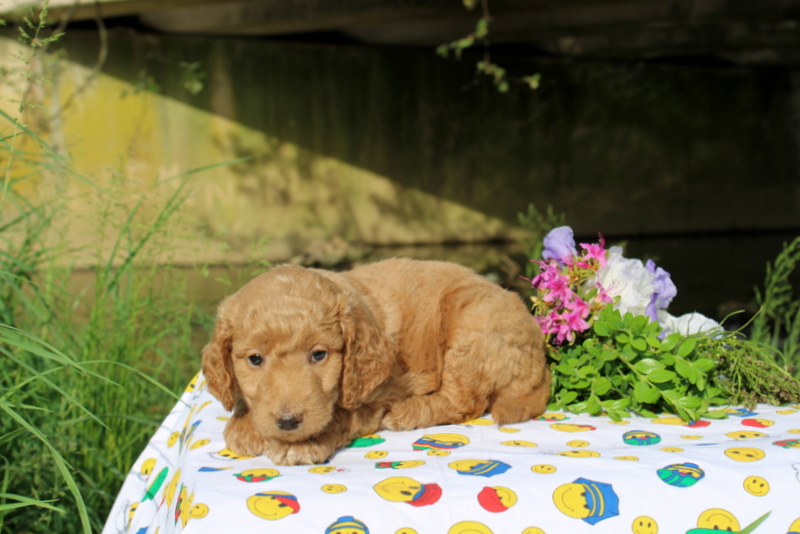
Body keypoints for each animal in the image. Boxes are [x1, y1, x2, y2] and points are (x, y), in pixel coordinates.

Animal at [200, 258, 552, 464]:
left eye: (319, 354)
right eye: (255, 359)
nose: (288, 422)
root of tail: (540, 359)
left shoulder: (381, 393)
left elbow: (341, 415)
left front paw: (303, 443)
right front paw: (244, 425)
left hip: (472, 324)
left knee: (465, 401)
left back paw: (407, 413)